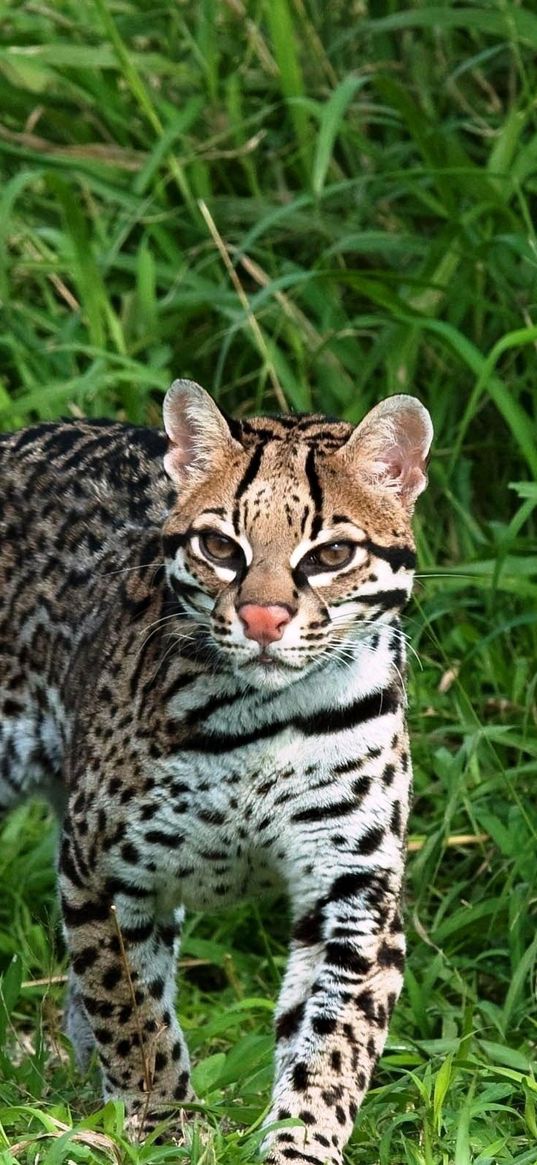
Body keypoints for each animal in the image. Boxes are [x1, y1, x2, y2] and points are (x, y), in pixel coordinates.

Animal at [0, 379, 430, 1155]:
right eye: (220, 546)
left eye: (330, 554)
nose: (262, 619)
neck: (270, 716)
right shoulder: (103, 867)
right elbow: (130, 1006)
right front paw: (162, 1125)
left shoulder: (355, 889)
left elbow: (332, 1044)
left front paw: (300, 1143)